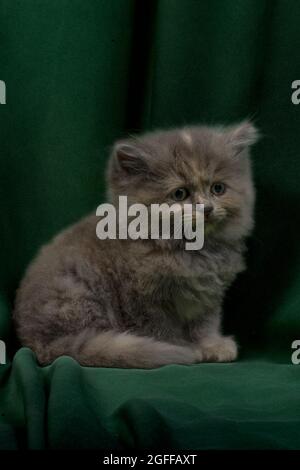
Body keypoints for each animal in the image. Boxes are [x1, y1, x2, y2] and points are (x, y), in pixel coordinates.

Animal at [13, 123, 258, 370]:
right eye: (180, 193)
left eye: (218, 188)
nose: (207, 209)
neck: (191, 251)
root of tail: (39, 345)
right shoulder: (142, 299)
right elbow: (161, 329)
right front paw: (179, 348)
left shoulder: (207, 298)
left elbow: (205, 324)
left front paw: (211, 346)